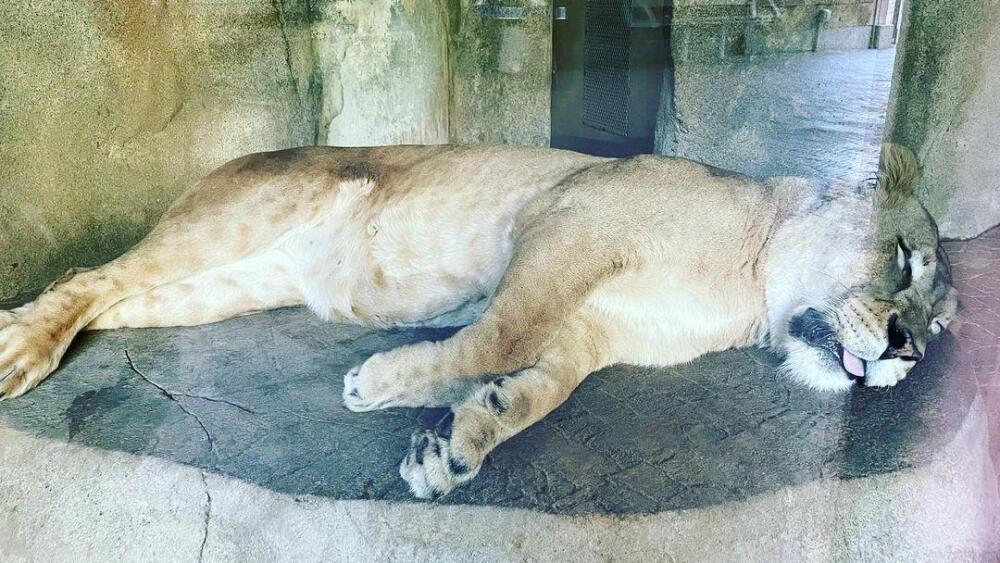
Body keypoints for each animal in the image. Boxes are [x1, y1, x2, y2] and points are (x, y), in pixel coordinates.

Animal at [0, 143, 956, 500]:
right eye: (905, 258)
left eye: (942, 326)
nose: (908, 349)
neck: (747, 291)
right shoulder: (567, 219)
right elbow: (502, 334)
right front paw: (381, 383)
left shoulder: (591, 330)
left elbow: (537, 388)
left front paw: (454, 443)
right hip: (242, 215)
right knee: (88, 274)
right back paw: (19, 349)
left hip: (229, 281)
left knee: (113, 298)